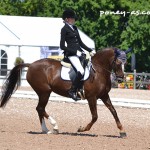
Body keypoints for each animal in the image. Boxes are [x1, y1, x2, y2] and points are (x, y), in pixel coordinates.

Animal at [0, 47, 129, 137]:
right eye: (118, 63)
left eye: (125, 63)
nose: (121, 79)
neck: (99, 71)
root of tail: (31, 64)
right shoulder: (91, 97)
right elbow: (95, 116)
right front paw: (82, 129)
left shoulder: (104, 95)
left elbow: (114, 111)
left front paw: (122, 131)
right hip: (45, 92)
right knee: (40, 108)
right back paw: (54, 127)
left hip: (43, 93)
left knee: (39, 109)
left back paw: (46, 130)